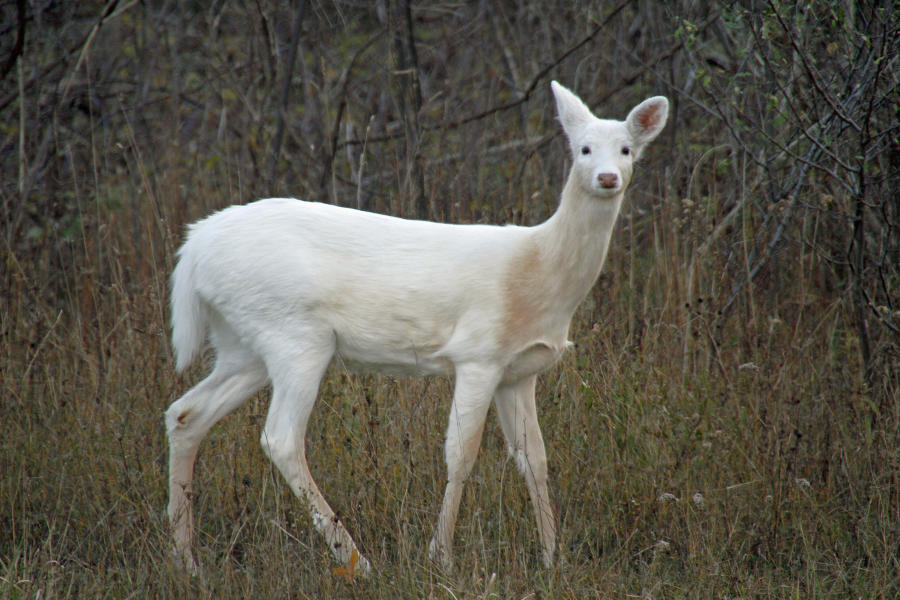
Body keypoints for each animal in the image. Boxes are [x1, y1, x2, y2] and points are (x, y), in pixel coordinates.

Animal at [165, 81, 668, 575]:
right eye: (583, 148)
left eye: (626, 149)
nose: (608, 178)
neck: (539, 272)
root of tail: (193, 250)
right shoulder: (478, 354)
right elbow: (461, 455)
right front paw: (440, 557)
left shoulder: (520, 371)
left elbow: (535, 459)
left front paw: (551, 557)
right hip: (295, 335)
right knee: (281, 439)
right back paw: (356, 561)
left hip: (243, 343)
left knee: (185, 414)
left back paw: (186, 560)